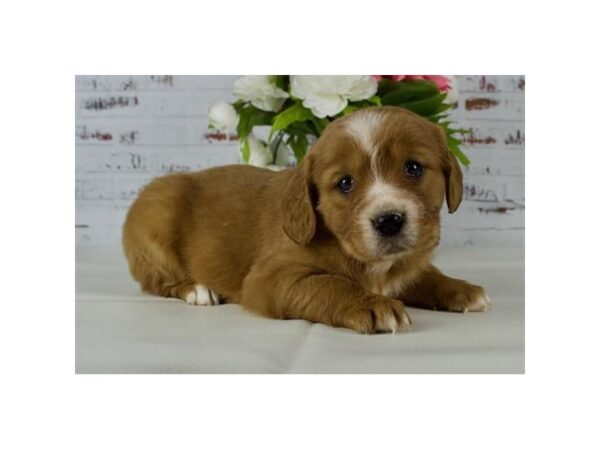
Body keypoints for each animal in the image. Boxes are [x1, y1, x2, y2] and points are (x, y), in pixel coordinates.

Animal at [120, 104, 488, 330]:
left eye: (413, 167)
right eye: (345, 183)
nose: (389, 221)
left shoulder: (404, 265)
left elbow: (423, 274)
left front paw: (460, 289)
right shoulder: (270, 279)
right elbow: (328, 282)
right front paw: (372, 303)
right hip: (157, 218)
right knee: (156, 281)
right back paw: (197, 289)